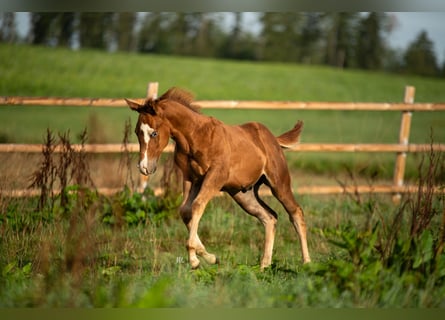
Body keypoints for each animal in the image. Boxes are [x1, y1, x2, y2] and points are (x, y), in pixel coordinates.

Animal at [125, 88, 310, 270]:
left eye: (154, 133)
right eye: (136, 132)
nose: (144, 167)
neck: (195, 137)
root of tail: (273, 139)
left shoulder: (215, 176)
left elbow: (197, 205)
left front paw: (194, 259)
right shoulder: (191, 178)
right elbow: (185, 210)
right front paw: (210, 257)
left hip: (279, 183)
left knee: (295, 212)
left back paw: (306, 262)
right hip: (243, 194)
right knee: (269, 217)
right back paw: (264, 265)